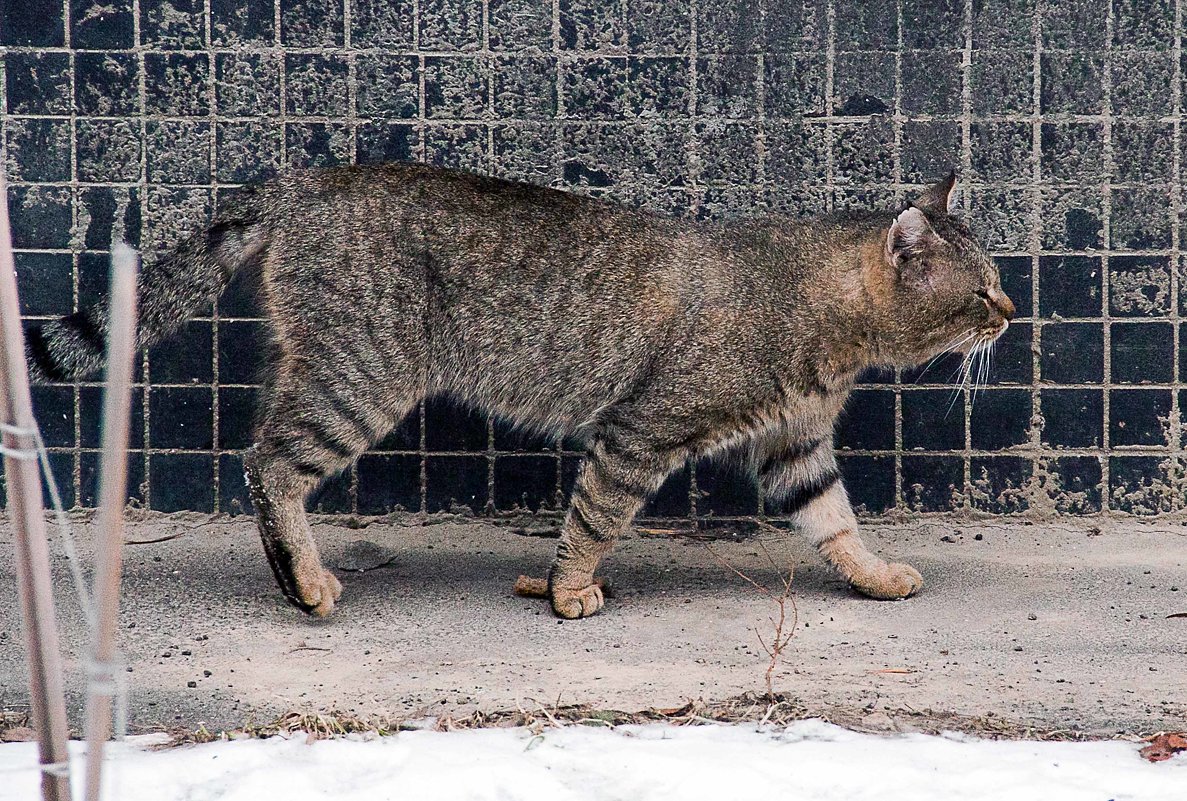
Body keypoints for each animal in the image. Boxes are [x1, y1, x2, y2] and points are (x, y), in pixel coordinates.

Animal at [25, 167, 1011, 621]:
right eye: (980, 290)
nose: (1012, 311)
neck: (829, 327)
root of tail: (307, 179)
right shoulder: (638, 432)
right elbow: (594, 518)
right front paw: (569, 589)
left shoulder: (794, 445)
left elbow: (836, 520)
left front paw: (873, 573)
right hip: (360, 379)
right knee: (268, 461)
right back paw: (304, 581)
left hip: (313, 367)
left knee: (265, 457)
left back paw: (289, 574)